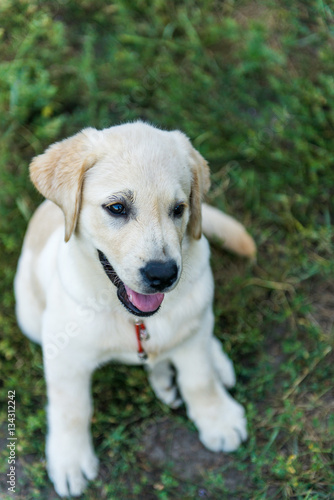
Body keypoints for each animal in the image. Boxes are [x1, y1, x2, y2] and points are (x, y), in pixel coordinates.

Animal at [13, 120, 256, 496]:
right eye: (116, 208)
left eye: (179, 209)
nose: (162, 275)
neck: (132, 318)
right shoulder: (65, 356)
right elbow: (71, 409)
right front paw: (70, 460)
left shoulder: (191, 328)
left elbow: (199, 378)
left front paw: (217, 418)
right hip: (28, 313)